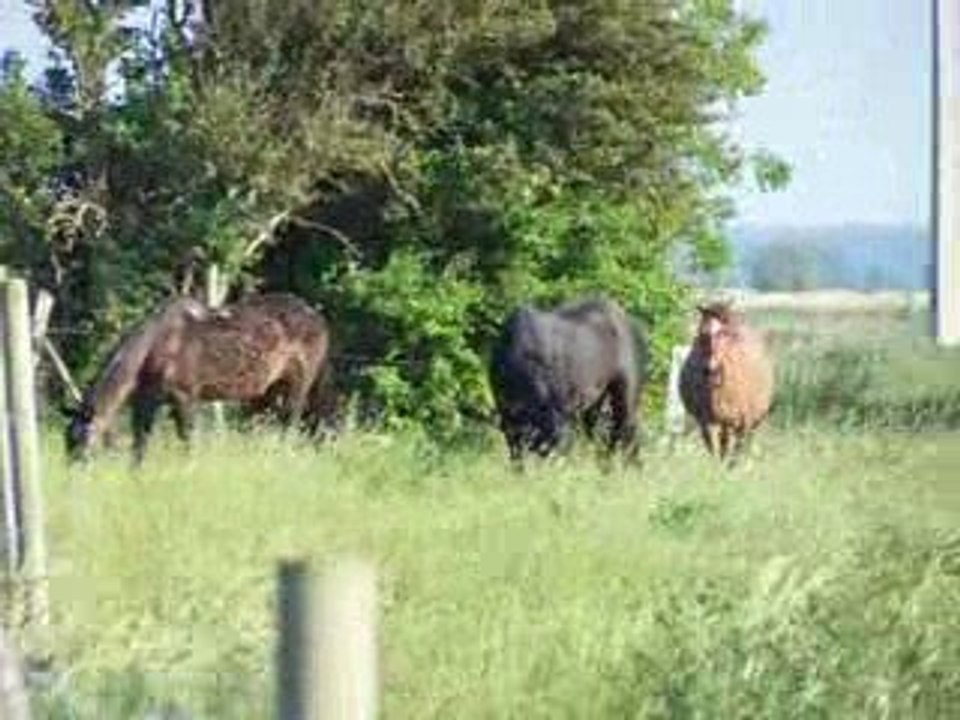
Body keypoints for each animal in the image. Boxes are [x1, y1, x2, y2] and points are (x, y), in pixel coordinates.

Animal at [64, 292, 331, 465]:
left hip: (298, 386)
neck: (156, 347)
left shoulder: (184, 397)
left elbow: (188, 440)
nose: (73, 474)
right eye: (67, 442)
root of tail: (319, 318)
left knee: (291, 423)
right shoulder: (146, 401)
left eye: (82, 440)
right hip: (266, 392)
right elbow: (140, 443)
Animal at [679, 301, 774, 463]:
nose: (710, 370)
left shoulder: (744, 422)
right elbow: (714, 450)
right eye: (702, 333)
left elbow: (736, 452)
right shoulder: (708, 422)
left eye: (724, 332)